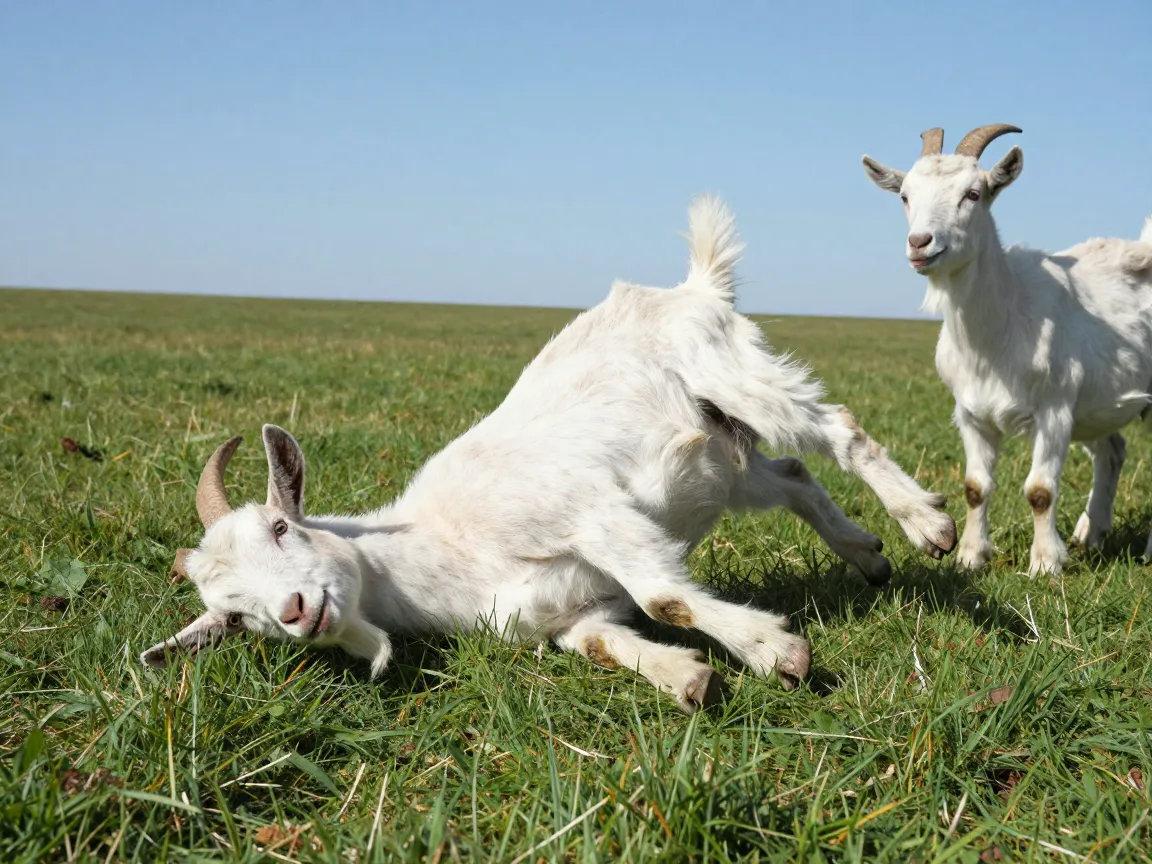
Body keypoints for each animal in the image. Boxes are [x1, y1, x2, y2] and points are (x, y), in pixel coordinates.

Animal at [141, 196, 956, 712]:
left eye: (281, 528)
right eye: (235, 616)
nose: (295, 611)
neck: (448, 549)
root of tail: (692, 287)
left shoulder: (590, 514)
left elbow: (666, 596)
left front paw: (773, 651)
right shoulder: (567, 615)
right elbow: (603, 643)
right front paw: (687, 678)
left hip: (736, 376)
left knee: (836, 429)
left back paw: (929, 526)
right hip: (720, 461)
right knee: (790, 476)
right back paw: (868, 556)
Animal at [863, 125, 1152, 575]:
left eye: (973, 194)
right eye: (905, 195)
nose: (920, 243)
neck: (997, 335)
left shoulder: (1055, 411)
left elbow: (1040, 490)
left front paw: (1046, 564)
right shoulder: (971, 413)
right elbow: (975, 487)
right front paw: (970, 555)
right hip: (1097, 406)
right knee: (1112, 452)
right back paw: (1092, 534)